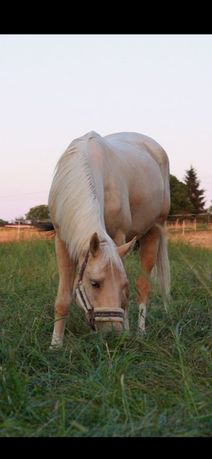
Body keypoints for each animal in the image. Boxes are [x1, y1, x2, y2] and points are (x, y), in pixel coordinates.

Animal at [48, 130, 171, 348]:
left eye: (123, 282)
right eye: (95, 283)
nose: (113, 333)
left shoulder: (118, 236)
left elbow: (127, 295)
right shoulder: (62, 241)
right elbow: (62, 299)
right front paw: (55, 346)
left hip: (154, 230)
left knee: (143, 287)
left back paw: (140, 333)